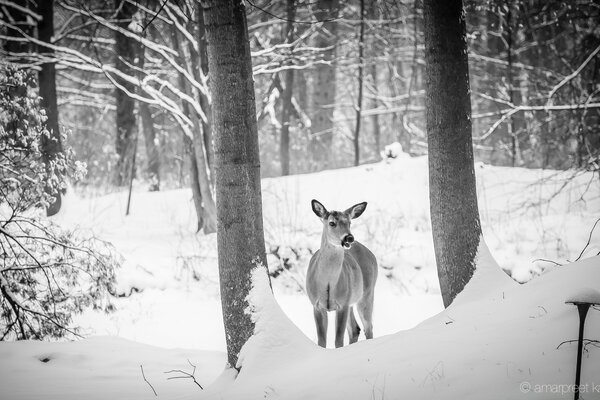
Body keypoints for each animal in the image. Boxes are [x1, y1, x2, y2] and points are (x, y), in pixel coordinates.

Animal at [308, 199, 378, 346]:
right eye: (332, 223)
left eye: (349, 222)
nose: (349, 238)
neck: (328, 282)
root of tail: (371, 254)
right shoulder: (316, 305)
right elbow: (322, 340)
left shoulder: (342, 304)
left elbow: (338, 340)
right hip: (352, 300)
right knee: (355, 329)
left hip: (367, 294)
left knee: (368, 327)